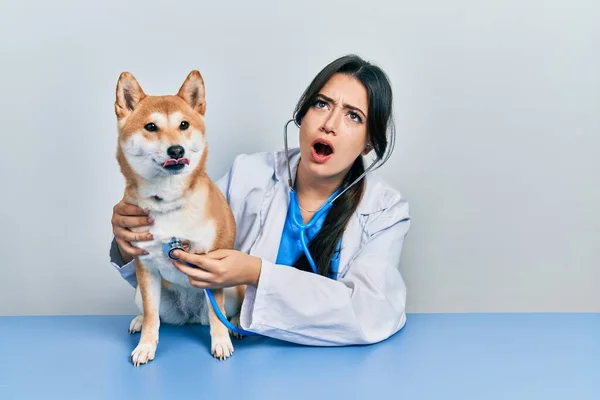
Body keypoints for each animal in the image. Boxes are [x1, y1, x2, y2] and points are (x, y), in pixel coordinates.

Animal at [112, 69, 244, 366]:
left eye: (184, 125)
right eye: (151, 127)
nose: (176, 150)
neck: (168, 203)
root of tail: (191, 315)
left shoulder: (213, 267)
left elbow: (218, 317)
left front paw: (221, 342)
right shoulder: (146, 268)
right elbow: (153, 317)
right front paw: (146, 346)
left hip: (233, 288)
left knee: (228, 312)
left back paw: (237, 325)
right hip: (142, 292)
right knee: (153, 312)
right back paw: (139, 320)